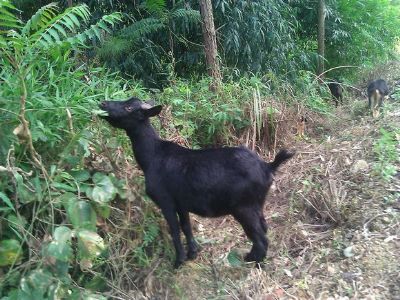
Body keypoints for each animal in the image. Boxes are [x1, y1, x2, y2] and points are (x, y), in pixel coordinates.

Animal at [100, 97, 294, 268]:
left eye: (129, 108)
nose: (102, 103)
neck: (152, 156)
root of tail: (268, 166)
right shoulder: (181, 202)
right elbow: (186, 226)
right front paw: (193, 252)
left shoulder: (165, 201)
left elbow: (175, 230)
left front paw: (178, 261)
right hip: (257, 204)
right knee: (264, 228)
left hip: (244, 207)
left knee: (260, 237)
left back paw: (253, 262)